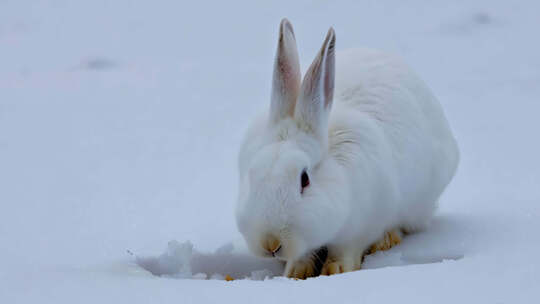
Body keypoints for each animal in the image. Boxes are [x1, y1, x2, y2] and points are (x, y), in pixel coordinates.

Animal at [234, 19, 458, 280]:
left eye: (304, 179)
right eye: (251, 176)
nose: (270, 243)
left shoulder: (363, 224)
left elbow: (346, 249)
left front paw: (336, 269)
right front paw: (296, 272)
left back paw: (387, 240)